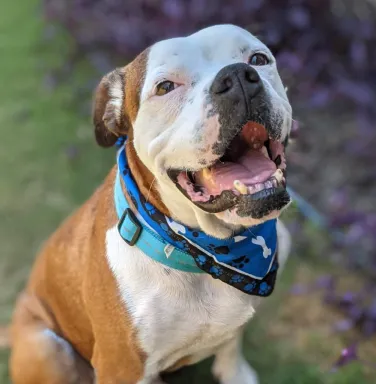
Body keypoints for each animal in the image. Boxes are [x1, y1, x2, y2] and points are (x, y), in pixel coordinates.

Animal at [8, 24, 290, 384]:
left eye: (258, 59)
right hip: (47, 346)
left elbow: (230, 345)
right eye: (166, 87)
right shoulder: (120, 365)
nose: (238, 76)